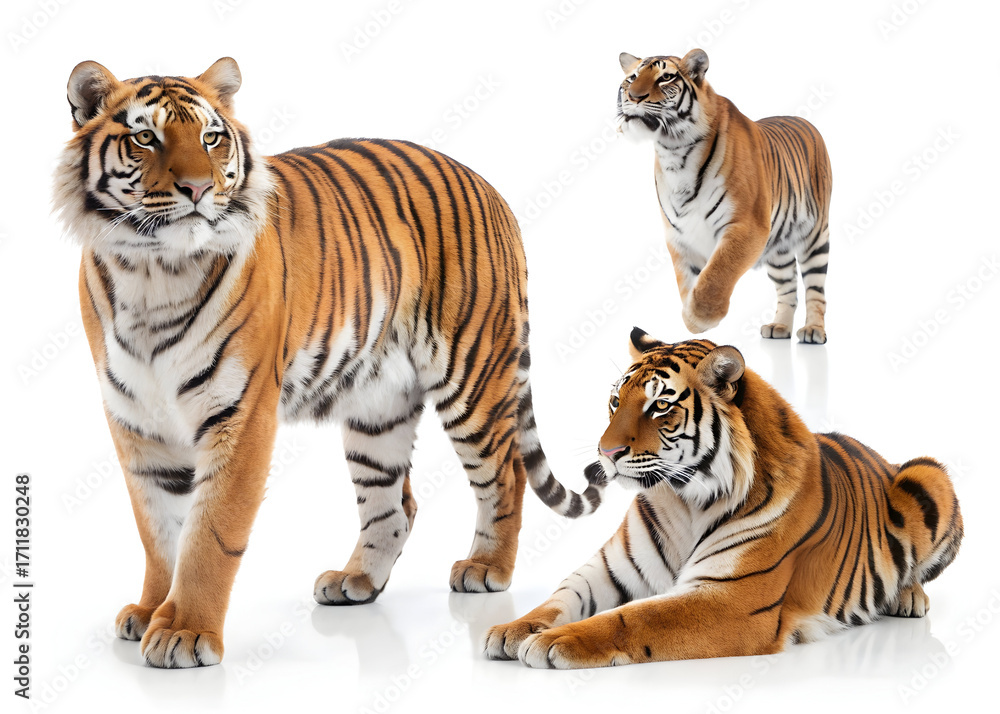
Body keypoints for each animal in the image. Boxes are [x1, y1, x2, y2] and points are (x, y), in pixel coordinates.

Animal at [53, 58, 604, 669]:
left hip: (472, 376)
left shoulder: (241, 415)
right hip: (378, 407)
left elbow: (210, 533)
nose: (198, 189)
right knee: (395, 503)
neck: (151, 272)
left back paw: (486, 569)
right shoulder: (136, 420)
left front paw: (185, 632)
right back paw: (356, 581)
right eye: (145, 137)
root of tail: (489, 186)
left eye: (210, 138)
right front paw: (152, 610)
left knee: (505, 474)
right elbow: (158, 529)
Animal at [484, 327, 963, 668]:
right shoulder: (611, 571)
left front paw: (555, 641)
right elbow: (560, 598)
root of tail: (881, 455)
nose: (607, 453)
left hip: (928, 474)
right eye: (616, 400)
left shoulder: (733, 599)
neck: (683, 498)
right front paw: (511, 629)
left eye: (660, 406)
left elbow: (635, 617)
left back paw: (906, 597)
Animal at [617, 50, 833, 343]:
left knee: (815, 289)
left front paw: (700, 317)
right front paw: (691, 318)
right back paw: (779, 328)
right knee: (788, 287)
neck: (673, 151)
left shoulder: (746, 226)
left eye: (665, 77)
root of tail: (806, 121)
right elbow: (688, 281)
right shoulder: (680, 235)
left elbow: (718, 272)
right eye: (632, 78)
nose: (633, 96)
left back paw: (813, 331)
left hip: (816, 236)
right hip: (780, 250)